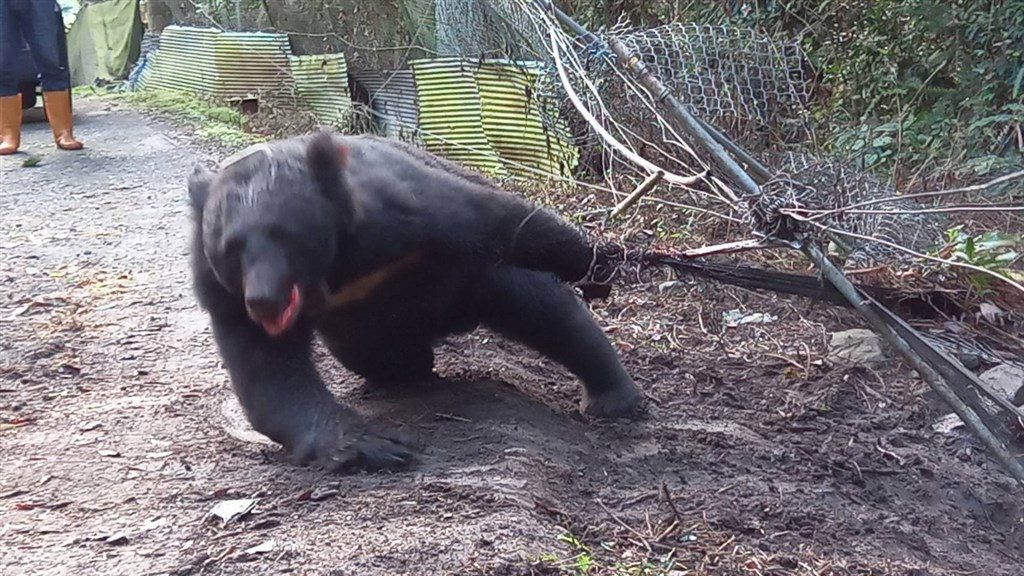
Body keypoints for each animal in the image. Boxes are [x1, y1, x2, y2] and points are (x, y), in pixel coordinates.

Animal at [189, 132, 638, 473]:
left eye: (285, 236)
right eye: (231, 249)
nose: (264, 301)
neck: (335, 273)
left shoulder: (400, 210)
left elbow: (499, 219)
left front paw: (596, 262)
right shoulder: (220, 292)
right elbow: (269, 372)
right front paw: (376, 446)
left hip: (478, 280)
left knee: (548, 312)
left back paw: (613, 399)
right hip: (364, 337)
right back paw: (408, 372)